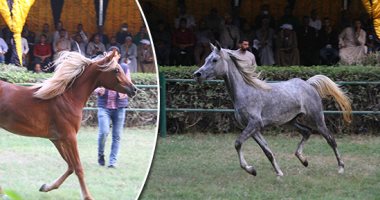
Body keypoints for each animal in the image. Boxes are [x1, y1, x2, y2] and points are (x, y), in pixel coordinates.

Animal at [0, 49, 137, 198]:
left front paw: (45, 187)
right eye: (116, 70)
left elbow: (70, 166)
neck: (68, 98)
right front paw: (88, 196)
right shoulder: (70, 137)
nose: (133, 89)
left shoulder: (57, 139)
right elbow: (78, 167)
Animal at [194, 42, 352, 177]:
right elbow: (267, 151)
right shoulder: (253, 129)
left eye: (214, 60)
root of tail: (308, 84)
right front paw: (278, 173)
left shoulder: (254, 124)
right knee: (307, 132)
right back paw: (304, 160)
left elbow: (238, 143)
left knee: (330, 139)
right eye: (206, 59)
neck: (246, 92)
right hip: (291, 121)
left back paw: (341, 168)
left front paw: (251, 170)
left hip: (316, 119)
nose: (197, 75)